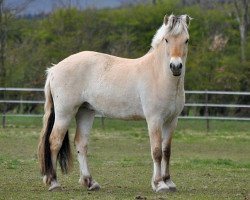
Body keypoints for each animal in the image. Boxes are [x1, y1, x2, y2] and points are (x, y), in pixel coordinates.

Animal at [38, 13, 191, 192]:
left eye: (186, 40)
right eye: (167, 40)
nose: (176, 66)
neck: (158, 75)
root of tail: (54, 69)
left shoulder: (171, 121)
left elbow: (167, 151)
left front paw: (169, 182)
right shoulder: (155, 120)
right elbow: (157, 151)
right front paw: (159, 184)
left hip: (85, 111)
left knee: (81, 144)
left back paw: (90, 182)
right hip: (65, 113)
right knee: (54, 141)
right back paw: (54, 182)